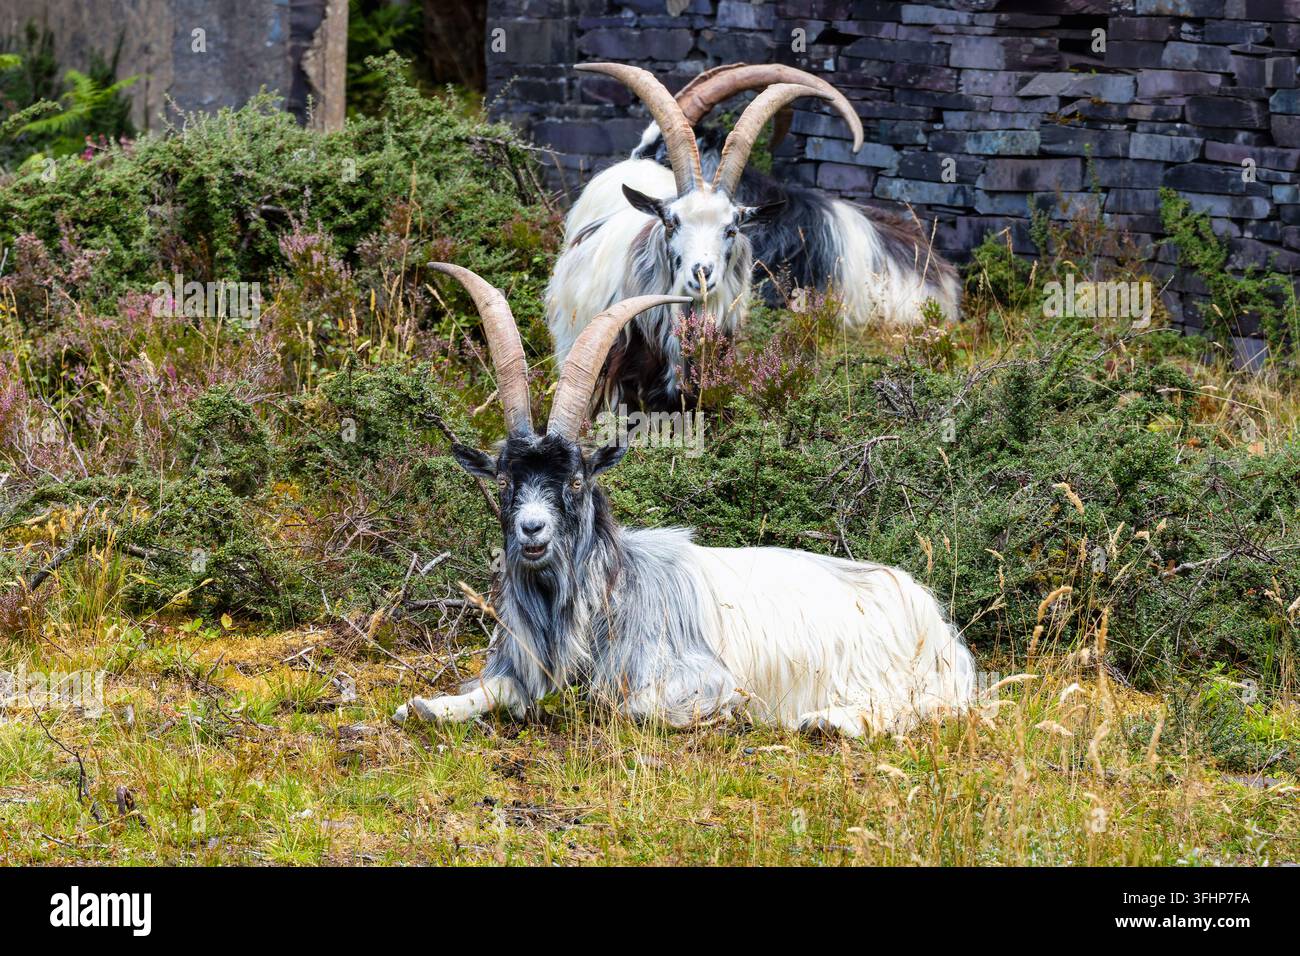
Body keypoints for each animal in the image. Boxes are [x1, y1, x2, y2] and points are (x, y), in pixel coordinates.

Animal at [395, 263, 977, 736]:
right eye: (502, 481)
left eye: (577, 480)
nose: (531, 530)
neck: (612, 592)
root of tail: (933, 621)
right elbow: (483, 693)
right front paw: (424, 706)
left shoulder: (700, 677)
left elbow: (629, 706)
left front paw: (729, 714)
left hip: (891, 677)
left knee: (912, 709)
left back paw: (826, 721)